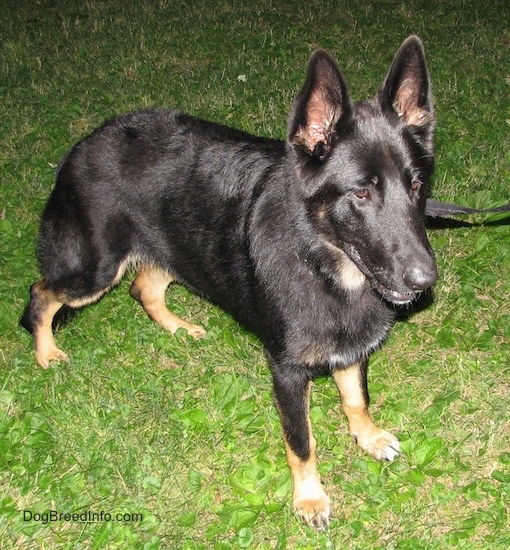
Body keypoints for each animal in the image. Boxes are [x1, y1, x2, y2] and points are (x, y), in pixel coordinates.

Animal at [21, 36, 436, 528]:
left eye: (416, 184)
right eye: (361, 192)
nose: (426, 280)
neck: (321, 261)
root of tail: (84, 144)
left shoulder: (349, 344)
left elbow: (356, 397)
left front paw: (367, 436)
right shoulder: (287, 372)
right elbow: (301, 441)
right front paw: (309, 498)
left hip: (174, 246)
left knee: (144, 288)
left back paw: (178, 328)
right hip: (94, 270)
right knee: (42, 293)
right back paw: (47, 353)